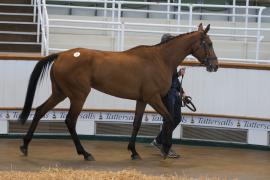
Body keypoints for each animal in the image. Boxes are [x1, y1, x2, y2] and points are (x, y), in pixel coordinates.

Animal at [18, 23, 217, 160]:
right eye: (208, 43)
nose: (214, 66)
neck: (160, 59)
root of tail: (61, 55)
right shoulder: (153, 98)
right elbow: (169, 118)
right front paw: (166, 149)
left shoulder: (142, 99)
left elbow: (137, 124)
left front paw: (134, 151)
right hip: (78, 96)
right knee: (70, 121)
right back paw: (85, 153)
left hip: (60, 93)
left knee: (40, 111)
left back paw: (25, 146)